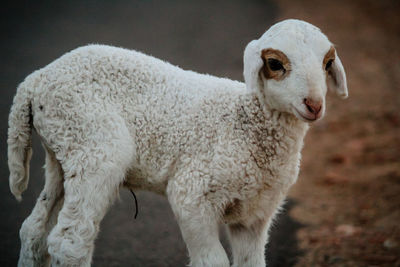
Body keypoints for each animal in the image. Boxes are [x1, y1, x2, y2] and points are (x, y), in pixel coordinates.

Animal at [8, 19, 346, 267]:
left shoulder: (254, 214)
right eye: (275, 63)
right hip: (93, 144)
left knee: (34, 229)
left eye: (327, 63)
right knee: (69, 241)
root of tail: (35, 81)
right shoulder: (192, 192)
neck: (245, 121)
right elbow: (212, 261)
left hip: (62, 151)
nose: (314, 105)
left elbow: (251, 262)